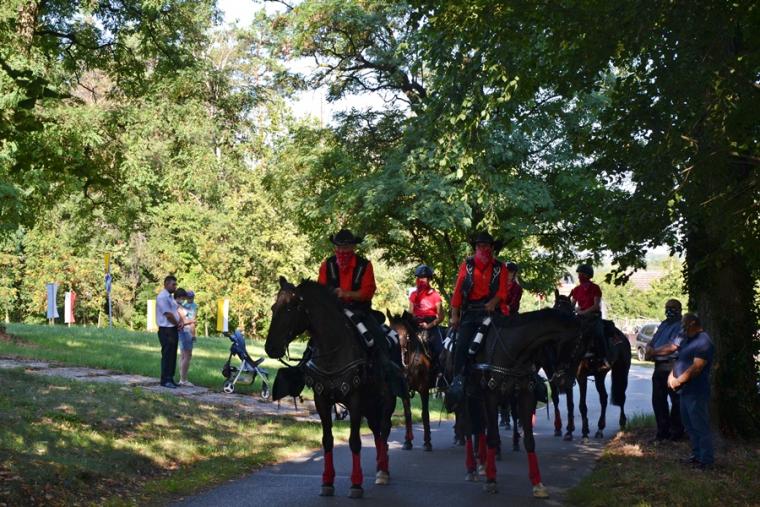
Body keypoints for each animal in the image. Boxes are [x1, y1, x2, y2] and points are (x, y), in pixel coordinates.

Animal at [265, 277, 398, 499]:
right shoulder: (322, 401)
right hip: (370, 405)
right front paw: (327, 481)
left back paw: (383, 470)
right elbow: (327, 439)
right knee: (377, 431)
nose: (270, 348)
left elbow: (355, 441)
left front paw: (356, 484)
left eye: (291, 307)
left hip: (386, 401)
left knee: (384, 429)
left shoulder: (355, 401)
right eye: (274, 307)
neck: (333, 349)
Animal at [387, 310, 437, 451]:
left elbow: (425, 414)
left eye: (406, 335)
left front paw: (427, 443)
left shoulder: (424, 389)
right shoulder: (404, 391)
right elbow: (408, 414)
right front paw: (407, 442)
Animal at [458, 308, 586, 497]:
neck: (513, 352)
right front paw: (491, 480)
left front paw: (537, 483)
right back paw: (472, 468)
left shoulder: (525, 396)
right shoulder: (491, 396)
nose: (567, 382)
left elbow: (529, 439)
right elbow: (493, 437)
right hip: (468, 395)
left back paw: (482, 463)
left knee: (480, 427)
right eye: (576, 349)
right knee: (469, 429)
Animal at [553, 290, 631, 441]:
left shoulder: (581, 377)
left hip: (622, 371)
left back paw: (622, 423)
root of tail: (623, 337)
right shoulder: (569, 377)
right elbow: (570, 404)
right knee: (604, 398)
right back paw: (600, 428)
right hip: (600, 375)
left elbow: (582, 405)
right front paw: (569, 431)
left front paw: (584, 431)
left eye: (567, 312)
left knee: (621, 396)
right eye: (555, 308)